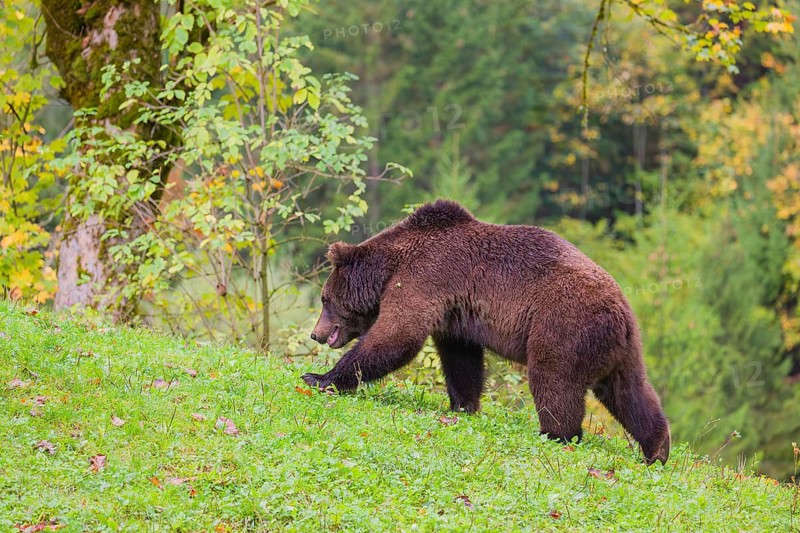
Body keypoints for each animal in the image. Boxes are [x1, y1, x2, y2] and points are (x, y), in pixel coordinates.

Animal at [302, 200, 670, 464]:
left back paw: (557, 434)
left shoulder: (425, 277)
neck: (390, 266)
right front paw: (463, 405)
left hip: (564, 324)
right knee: (629, 391)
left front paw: (319, 377)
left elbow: (397, 336)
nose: (316, 334)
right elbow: (461, 359)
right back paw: (656, 449)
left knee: (554, 380)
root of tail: (620, 311)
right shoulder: (455, 313)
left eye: (324, 298)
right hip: (621, 347)